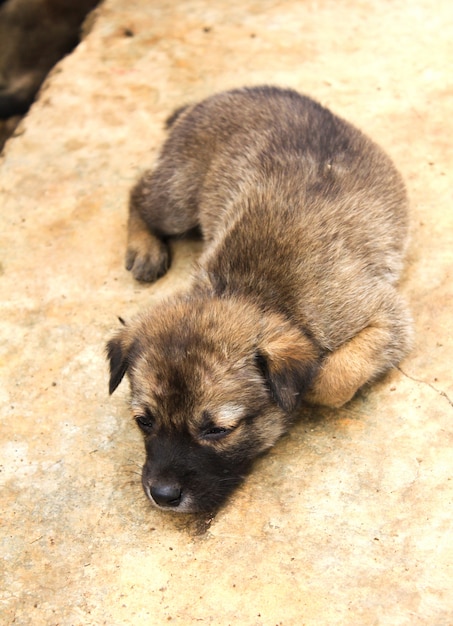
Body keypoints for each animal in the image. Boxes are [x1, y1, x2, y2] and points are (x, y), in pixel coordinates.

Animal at [107, 84, 412, 512]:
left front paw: (308, 391)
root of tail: (217, 97)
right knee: (138, 192)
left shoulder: (387, 316)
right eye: (144, 421)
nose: (162, 496)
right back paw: (144, 247)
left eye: (218, 430)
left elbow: (334, 376)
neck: (257, 293)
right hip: (178, 197)